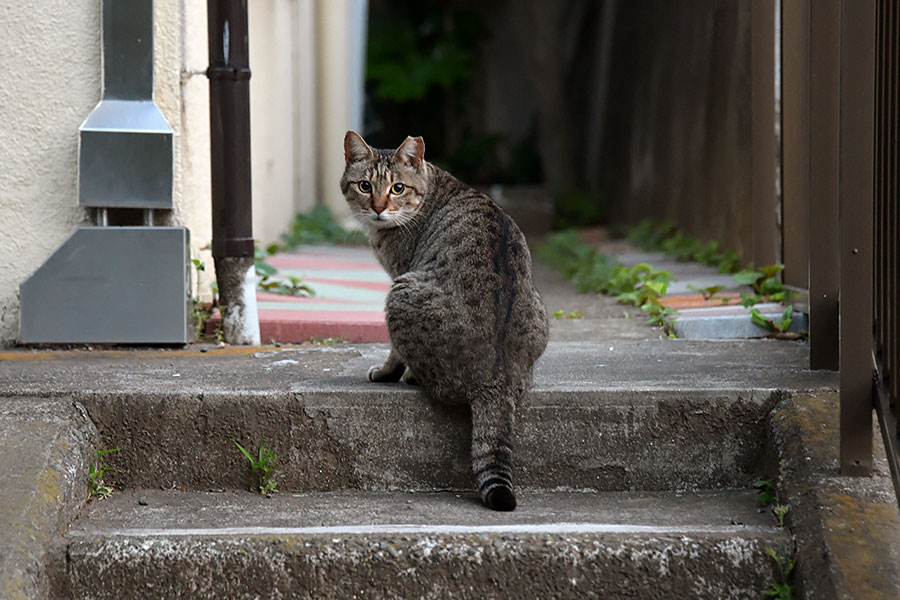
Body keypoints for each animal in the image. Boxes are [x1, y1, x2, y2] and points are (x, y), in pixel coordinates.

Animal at [340, 132, 544, 510]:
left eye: (397, 188)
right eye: (364, 186)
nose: (378, 207)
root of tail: (495, 378)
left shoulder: (400, 274)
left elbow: (393, 350)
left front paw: (387, 371)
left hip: (401, 294)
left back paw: (411, 376)